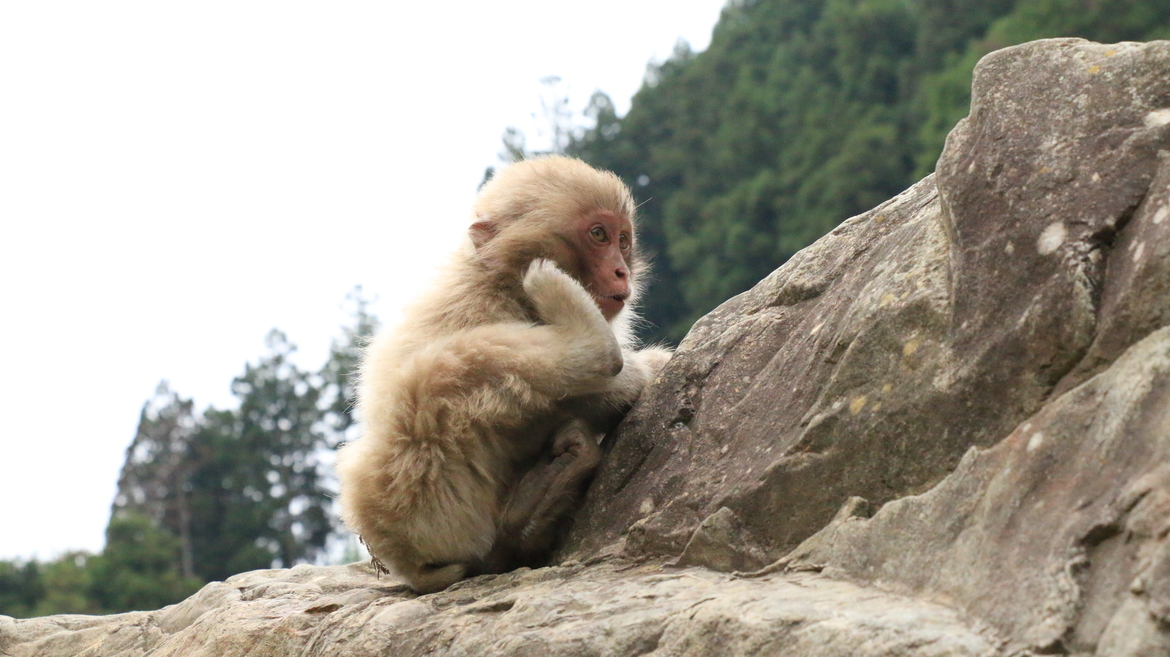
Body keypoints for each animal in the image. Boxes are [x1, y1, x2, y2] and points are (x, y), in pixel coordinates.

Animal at [336, 155, 669, 591]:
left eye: (623, 240)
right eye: (598, 235)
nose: (620, 271)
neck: (506, 284)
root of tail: (404, 565)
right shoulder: (485, 308)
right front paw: (636, 375)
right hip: (410, 495)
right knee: (436, 373)